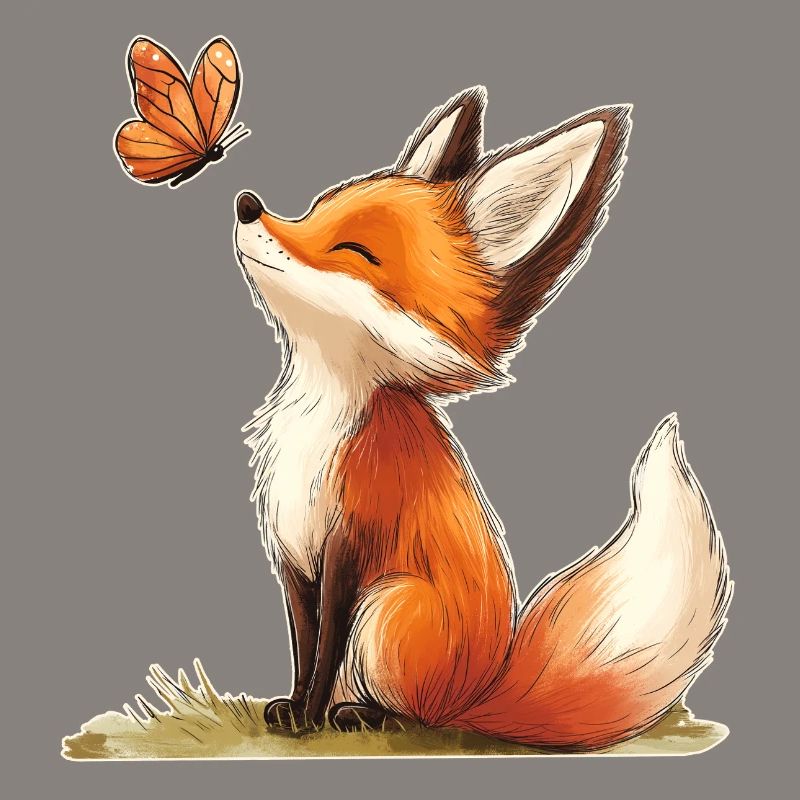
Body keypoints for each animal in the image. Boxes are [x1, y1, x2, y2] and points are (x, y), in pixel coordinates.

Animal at [232, 86, 731, 751]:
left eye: (355, 252)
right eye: (314, 211)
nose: (246, 205)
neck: (319, 420)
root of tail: (482, 690)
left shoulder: (349, 548)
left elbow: (325, 645)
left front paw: (308, 720)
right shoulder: (292, 554)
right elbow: (303, 646)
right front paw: (291, 708)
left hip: (389, 608)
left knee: (419, 712)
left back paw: (365, 715)